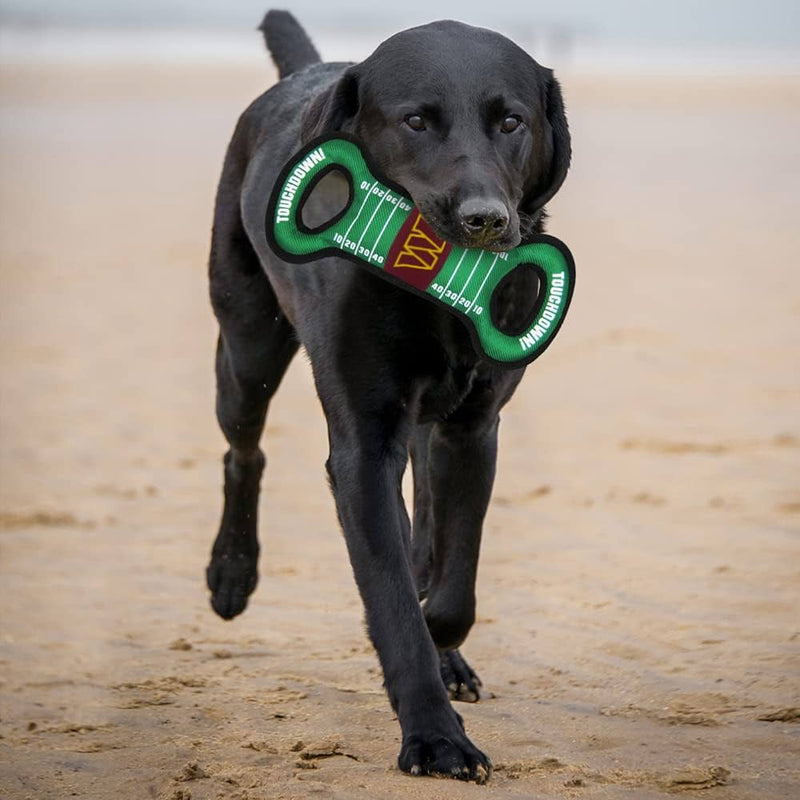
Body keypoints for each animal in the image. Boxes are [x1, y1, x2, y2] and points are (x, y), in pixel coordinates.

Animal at [206, 7, 568, 780]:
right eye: (416, 121)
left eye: (512, 121)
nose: (485, 220)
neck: (436, 293)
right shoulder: (364, 447)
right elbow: (395, 597)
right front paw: (435, 738)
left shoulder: (472, 429)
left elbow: (452, 583)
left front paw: (444, 646)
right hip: (247, 348)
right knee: (244, 450)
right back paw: (231, 572)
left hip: (426, 428)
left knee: (424, 525)